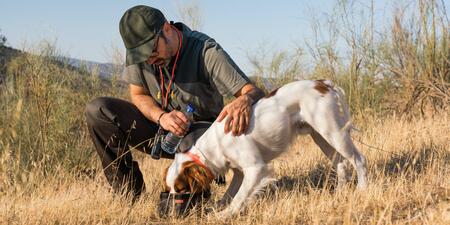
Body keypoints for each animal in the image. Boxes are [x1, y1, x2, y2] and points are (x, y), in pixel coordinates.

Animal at [163, 80, 368, 217]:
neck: (215, 144)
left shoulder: (256, 168)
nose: (173, 210)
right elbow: (231, 193)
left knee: (359, 159)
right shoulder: (239, 172)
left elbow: (239, 197)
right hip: (322, 137)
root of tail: (324, 83)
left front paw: (225, 214)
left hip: (333, 132)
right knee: (341, 163)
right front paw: (219, 207)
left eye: (182, 190)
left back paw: (362, 189)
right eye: (169, 189)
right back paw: (340, 193)